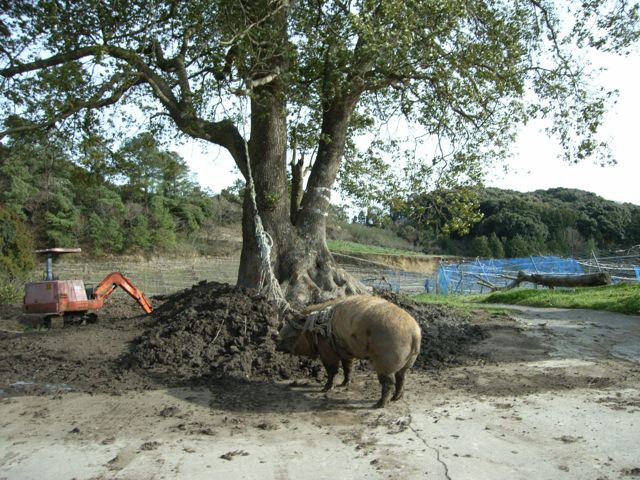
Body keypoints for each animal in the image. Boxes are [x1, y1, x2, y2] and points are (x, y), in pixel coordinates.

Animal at [278, 294, 422, 406]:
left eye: (293, 328)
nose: (276, 337)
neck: (314, 328)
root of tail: (414, 333)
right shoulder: (345, 352)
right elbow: (348, 368)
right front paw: (343, 385)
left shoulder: (327, 352)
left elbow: (332, 371)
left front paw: (325, 390)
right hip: (409, 361)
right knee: (401, 377)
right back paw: (395, 399)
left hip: (385, 360)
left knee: (389, 382)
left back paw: (379, 405)